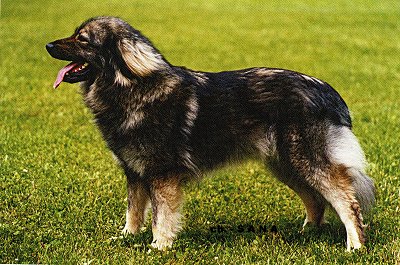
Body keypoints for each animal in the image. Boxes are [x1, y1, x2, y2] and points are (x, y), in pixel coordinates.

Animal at [46, 16, 376, 250]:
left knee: (345, 199)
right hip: (285, 164)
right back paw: (306, 232)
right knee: (316, 199)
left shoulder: (162, 175)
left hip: (305, 160)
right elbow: (134, 212)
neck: (131, 87)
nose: (48, 45)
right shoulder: (135, 173)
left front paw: (158, 246)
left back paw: (355, 245)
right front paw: (127, 237)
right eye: (75, 35)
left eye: (82, 40)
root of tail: (328, 91)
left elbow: (161, 216)